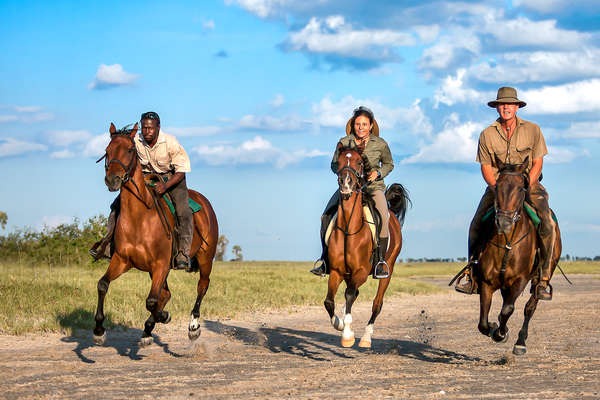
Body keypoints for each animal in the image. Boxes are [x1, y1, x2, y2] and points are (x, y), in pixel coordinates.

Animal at [92, 122, 218, 346]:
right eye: (107, 151)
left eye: (130, 150)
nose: (112, 180)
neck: (139, 218)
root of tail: (205, 203)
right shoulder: (122, 260)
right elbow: (103, 285)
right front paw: (99, 331)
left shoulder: (160, 264)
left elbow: (151, 301)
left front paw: (165, 316)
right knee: (166, 294)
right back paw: (148, 330)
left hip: (204, 258)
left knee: (202, 287)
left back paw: (193, 327)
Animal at [324, 144, 412, 346]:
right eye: (339, 160)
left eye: (359, 161)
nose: (346, 182)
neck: (349, 228)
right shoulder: (336, 271)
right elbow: (329, 302)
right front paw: (340, 324)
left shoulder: (362, 272)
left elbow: (349, 294)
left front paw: (347, 336)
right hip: (348, 274)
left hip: (387, 271)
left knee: (376, 304)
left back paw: (365, 338)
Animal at [474, 157, 564, 356]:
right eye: (497, 186)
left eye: (521, 188)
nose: (504, 222)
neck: (507, 241)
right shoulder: (487, 282)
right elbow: (483, 321)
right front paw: (495, 329)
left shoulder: (520, 280)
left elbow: (507, 310)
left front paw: (501, 333)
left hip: (540, 277)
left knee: (530, 307)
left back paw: (520, 342)